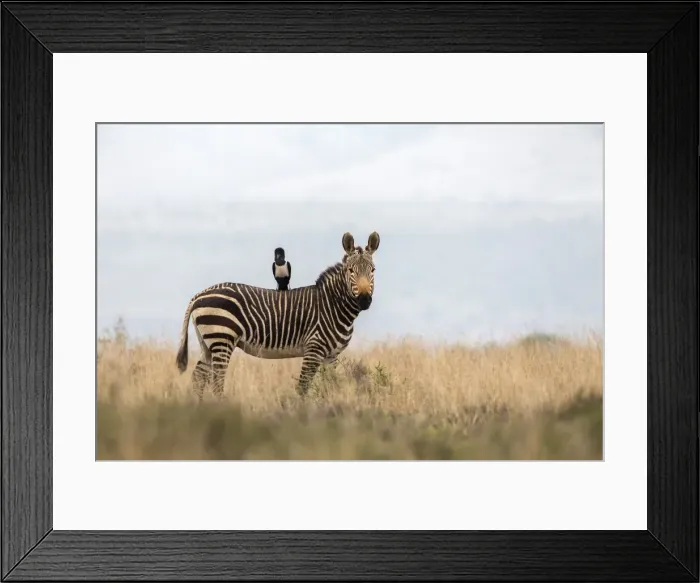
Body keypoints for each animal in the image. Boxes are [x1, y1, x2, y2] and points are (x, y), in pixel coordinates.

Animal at [175, 231, 380, 399]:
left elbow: (330, 386)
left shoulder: (332, 355)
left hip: (208, 343)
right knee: (216, 381)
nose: (364, 300)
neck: (333, 304)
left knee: (198, 376)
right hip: (222, 338)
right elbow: (303, 387)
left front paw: (330, 406)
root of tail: (198, 295)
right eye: (350, 270)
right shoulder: (313, 349)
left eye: (373, 270)